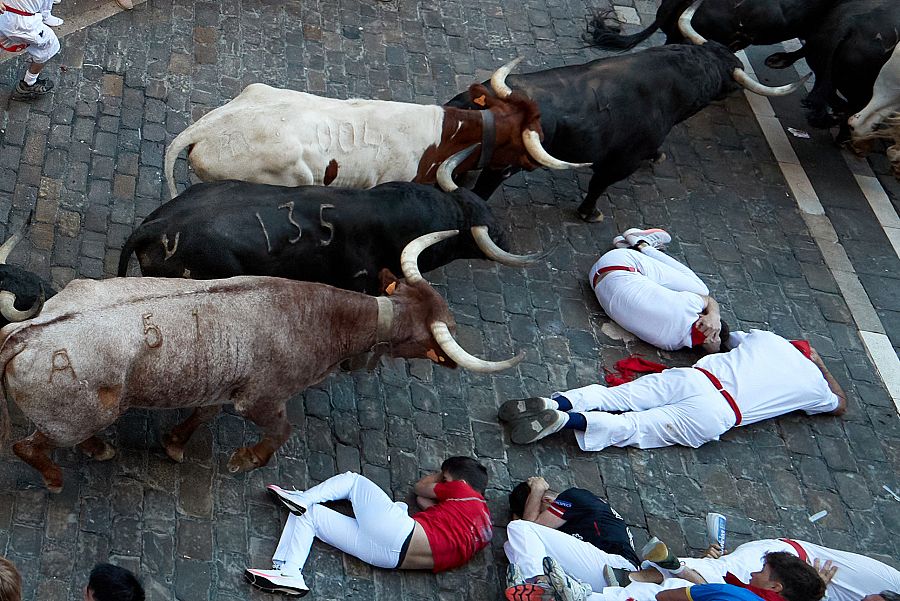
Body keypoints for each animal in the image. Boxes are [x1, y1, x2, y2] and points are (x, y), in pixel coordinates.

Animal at [0, 231, 520, 492]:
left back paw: (97, 449)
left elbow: (202, 415)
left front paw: (174, 444)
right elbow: (281, 431)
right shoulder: (262, 399)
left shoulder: (220, 385)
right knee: (28, 447)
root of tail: (24, 334)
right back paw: (57, 477)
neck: (317, 316)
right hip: (73, 415)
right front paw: (246, 459)